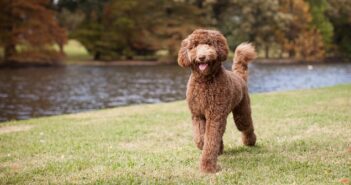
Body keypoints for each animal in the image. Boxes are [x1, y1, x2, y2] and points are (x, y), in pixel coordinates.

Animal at [179, 28, 256, 173]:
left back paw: (250, 142)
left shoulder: (215, 115)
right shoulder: (198, 115)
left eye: (209, 44)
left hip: (241, 112)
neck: (204, 81)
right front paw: (204, 145)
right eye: (194, 46)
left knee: (246, 126)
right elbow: (200, 138)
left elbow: (211, 140)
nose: (202, 57)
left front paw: (207, 167)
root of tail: (239, 76)